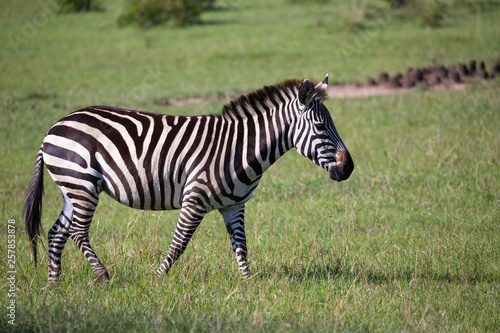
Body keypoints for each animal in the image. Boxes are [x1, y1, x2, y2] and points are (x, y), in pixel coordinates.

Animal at [22, 74, 352, 282]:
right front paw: (156, 280)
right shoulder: (195, 200)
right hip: (82, 184)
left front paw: (249, 284)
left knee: (57, 232)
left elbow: (241, 245)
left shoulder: (234, 206)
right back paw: (103, 276)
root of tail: (53, 127)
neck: (239, 148)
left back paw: (54, 284)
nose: (348, 168)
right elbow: (179, 244)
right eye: (321, 127)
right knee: (78, 232)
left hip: (71, 188)